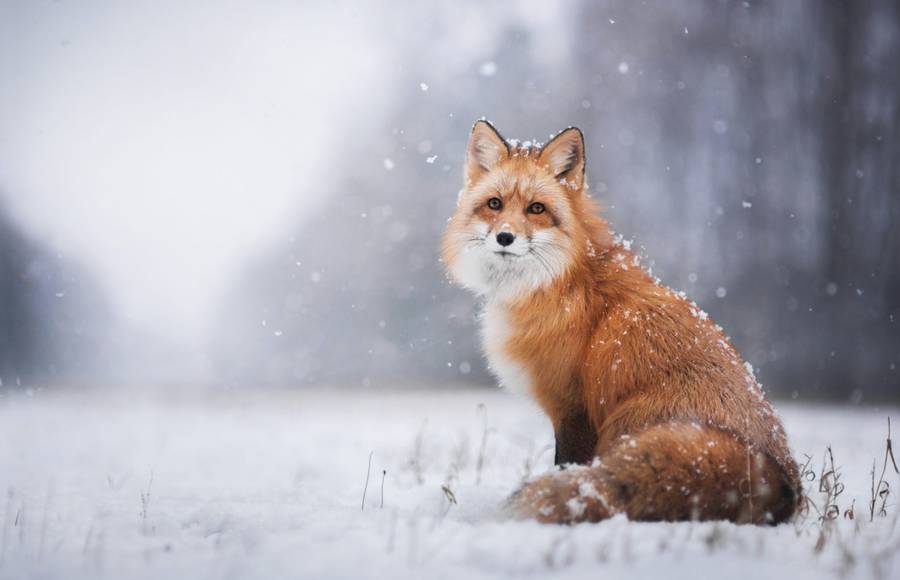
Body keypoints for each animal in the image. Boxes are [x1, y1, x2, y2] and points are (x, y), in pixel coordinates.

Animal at [442, 120, 800, 524]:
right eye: (494, 204)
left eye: (536, 208)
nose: (505, 237)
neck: (561, 281)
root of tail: (780, 481)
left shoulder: (574, 409)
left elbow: (566, 466)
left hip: (625, 424)